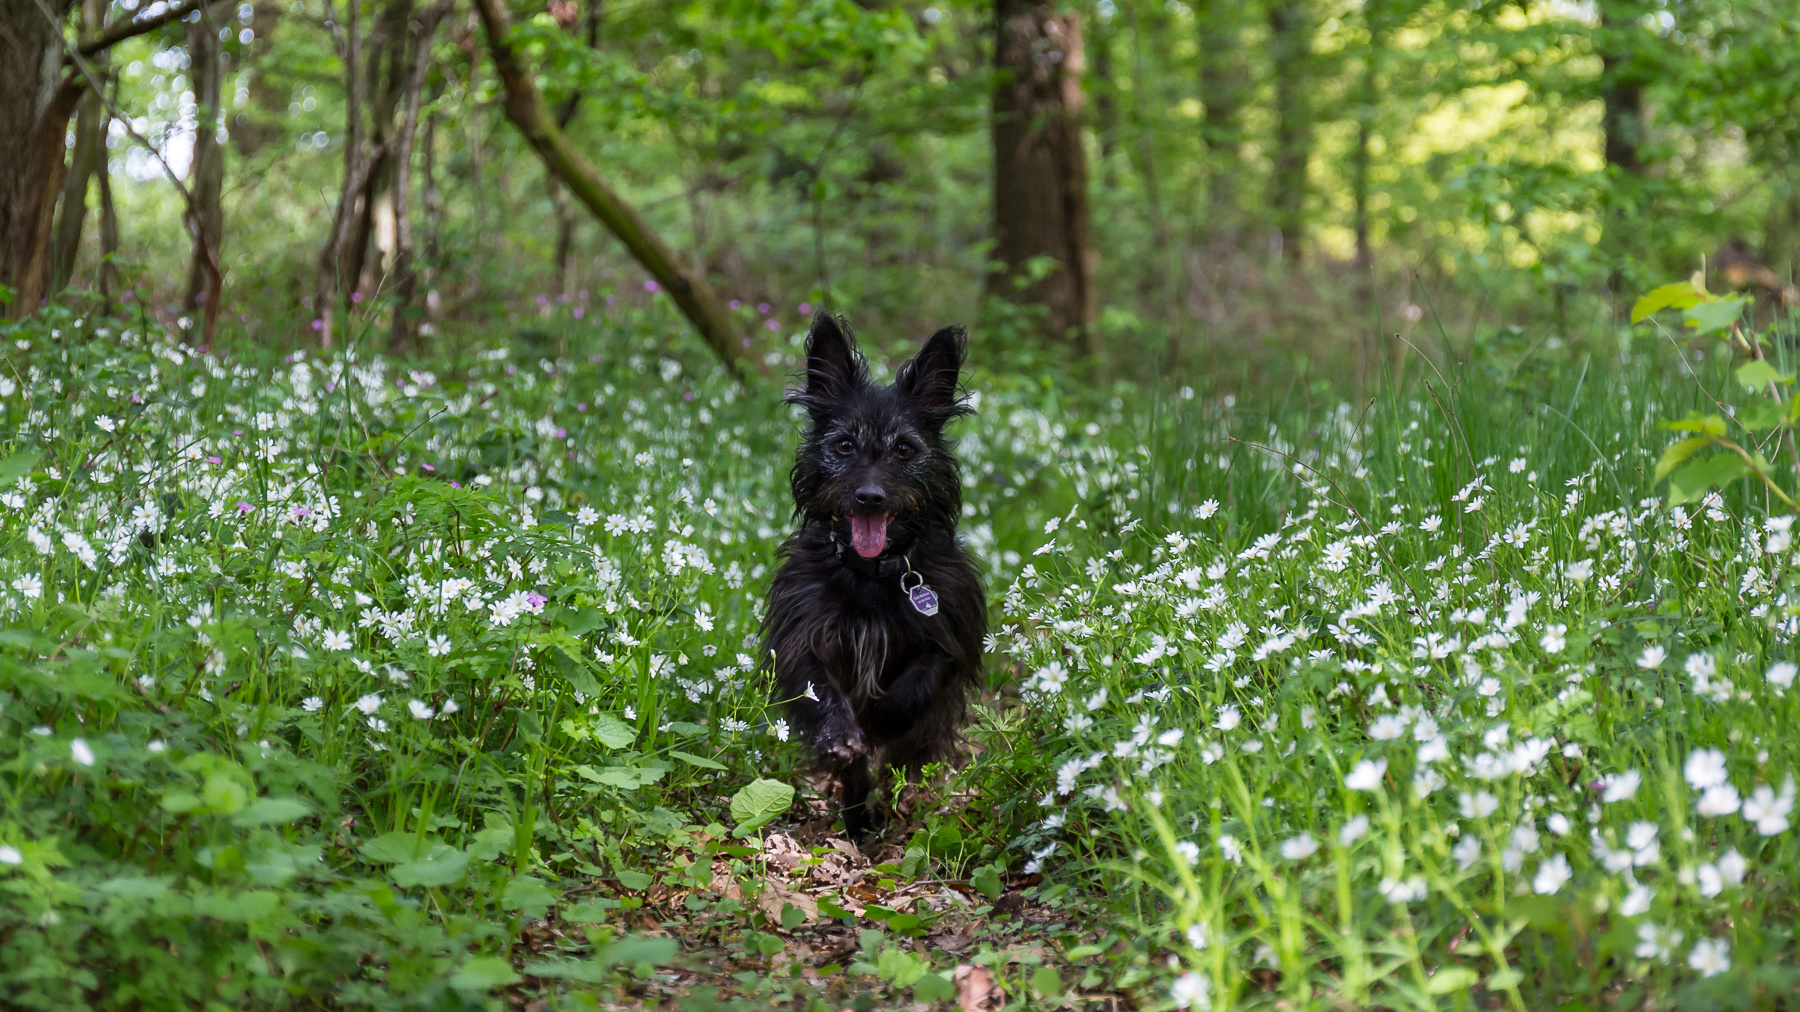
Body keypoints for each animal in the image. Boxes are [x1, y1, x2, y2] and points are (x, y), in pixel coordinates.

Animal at [759, 313, 986, 835]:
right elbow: (820, 687)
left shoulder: (950, 627)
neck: (871, 575)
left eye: (904, 449)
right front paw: (843, 734)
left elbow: (925, 675)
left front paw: (883, 716)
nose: (869, 497)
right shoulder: (804, 633)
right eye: (843, 445)